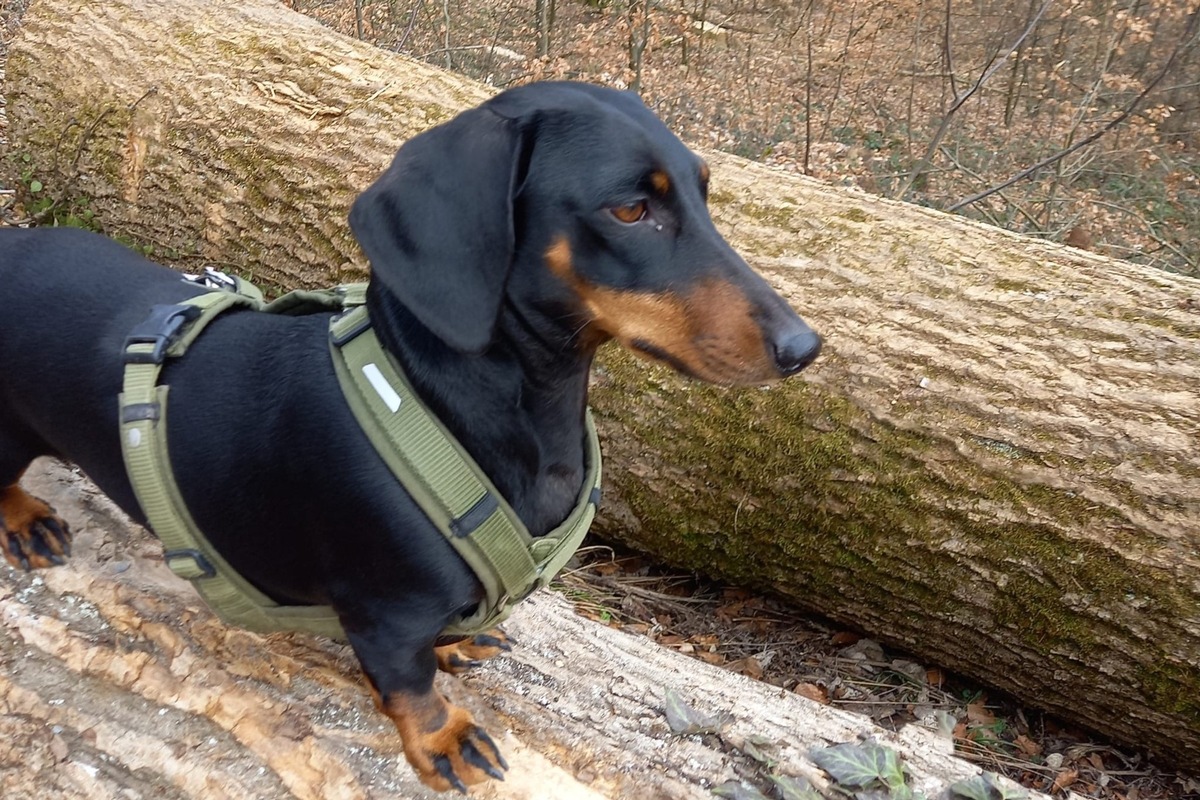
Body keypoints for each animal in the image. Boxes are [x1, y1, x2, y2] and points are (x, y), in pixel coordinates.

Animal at [0, 77, 816, 791]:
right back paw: (25, 521)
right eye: (629, 210)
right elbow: (409, 684)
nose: (804, 347)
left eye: (703, 191)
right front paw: (444, 738)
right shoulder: (384, 613)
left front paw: (458, 641)